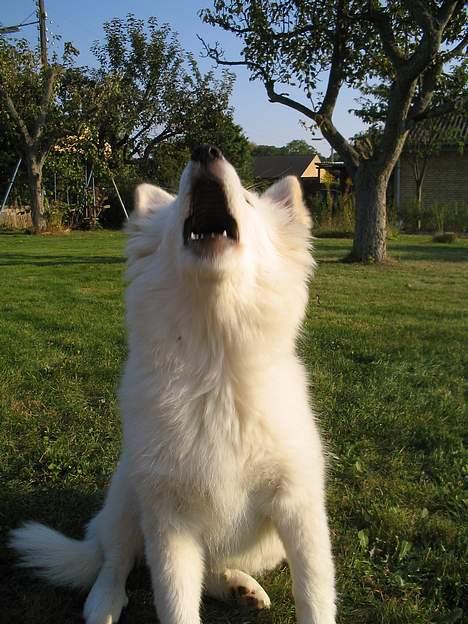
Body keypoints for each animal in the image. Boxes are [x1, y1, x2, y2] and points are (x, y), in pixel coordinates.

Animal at [11, 147, 336, 624]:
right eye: (179, 200)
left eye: (248, 200)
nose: (205, 152)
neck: (216, 371)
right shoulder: (169, 522)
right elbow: (176, 602)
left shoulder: (299, 509)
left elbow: (314, 594)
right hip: (128, 493)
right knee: (114, 558)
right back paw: (103, 602)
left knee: (209, 567)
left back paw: (239, 586)